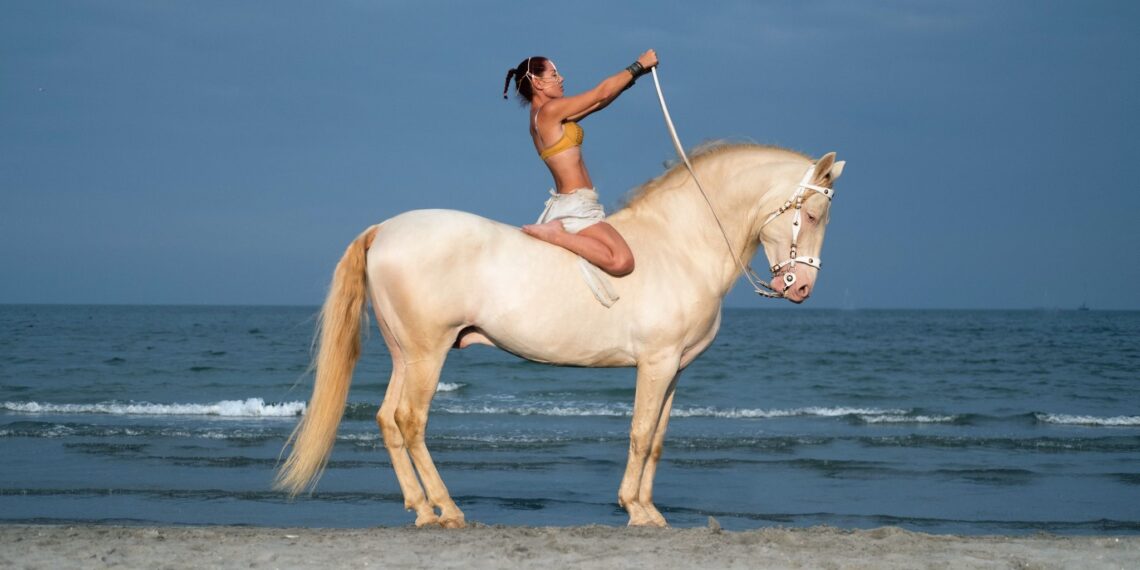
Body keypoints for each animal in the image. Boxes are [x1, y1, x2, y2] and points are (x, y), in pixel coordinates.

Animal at [276, 142, 846, 528]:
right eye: (815, 214)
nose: (801, 288)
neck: (679, 243)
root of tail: (385, 229)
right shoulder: (656, 363)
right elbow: (640, 433)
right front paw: (636, 511)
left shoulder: (676, 369)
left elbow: (658, 439)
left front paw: (648, 508)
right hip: (427, 354)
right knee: (410, 422)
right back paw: (449, 509)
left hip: (406, 356)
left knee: (387, 420)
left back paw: (422, 509)